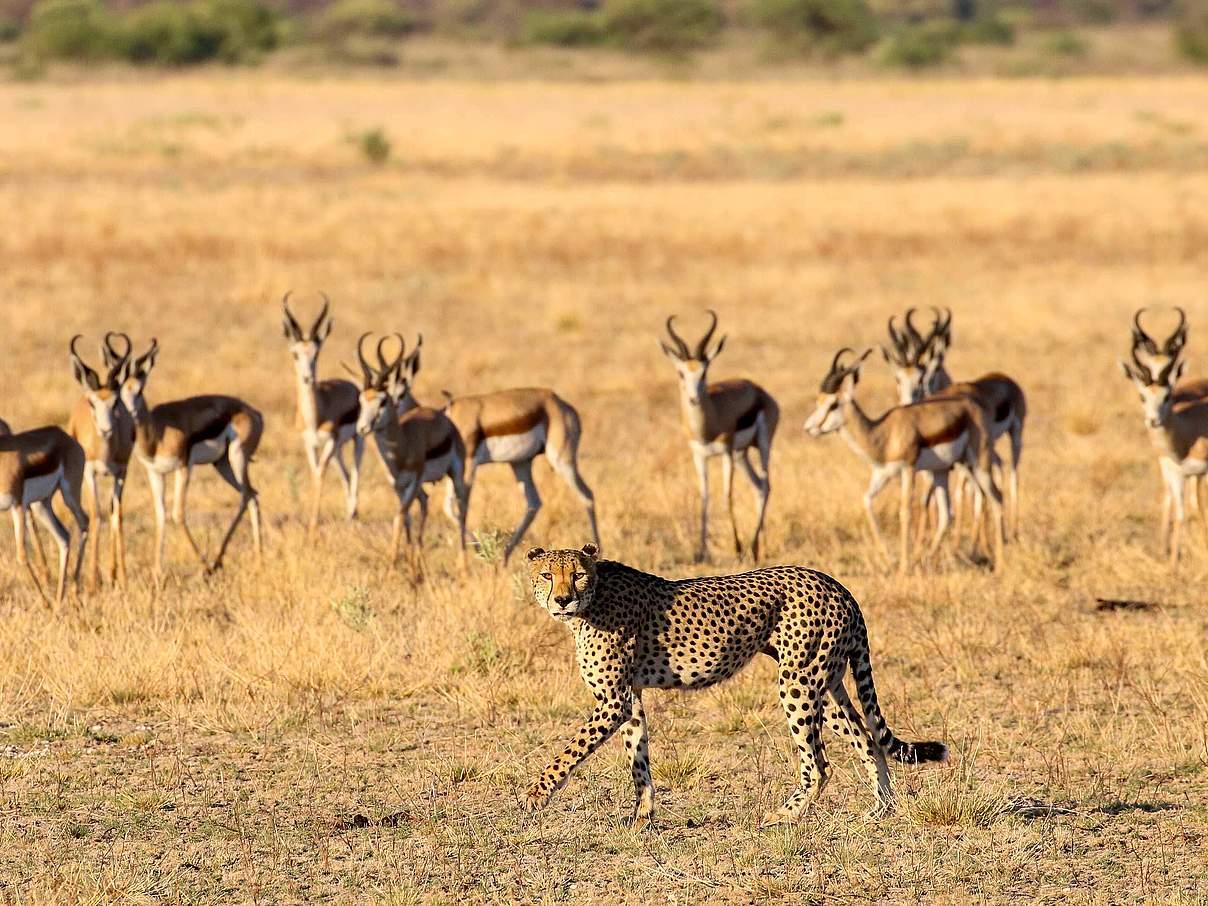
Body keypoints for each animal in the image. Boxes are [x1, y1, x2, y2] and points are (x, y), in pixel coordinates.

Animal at [524, 543, 947, 826]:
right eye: (547, 575)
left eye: (577, 575)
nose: (562, 600)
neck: (594, 599)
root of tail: (835, 584)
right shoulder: (629, 699)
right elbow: (638, 759)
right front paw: (642, 817)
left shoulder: (614, 701)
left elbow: (569, 752)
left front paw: (535, 795)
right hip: (825, 684)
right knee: (867, 737)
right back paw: (881, 809)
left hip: (798, 682)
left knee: (820, 764)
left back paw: (783, 816)